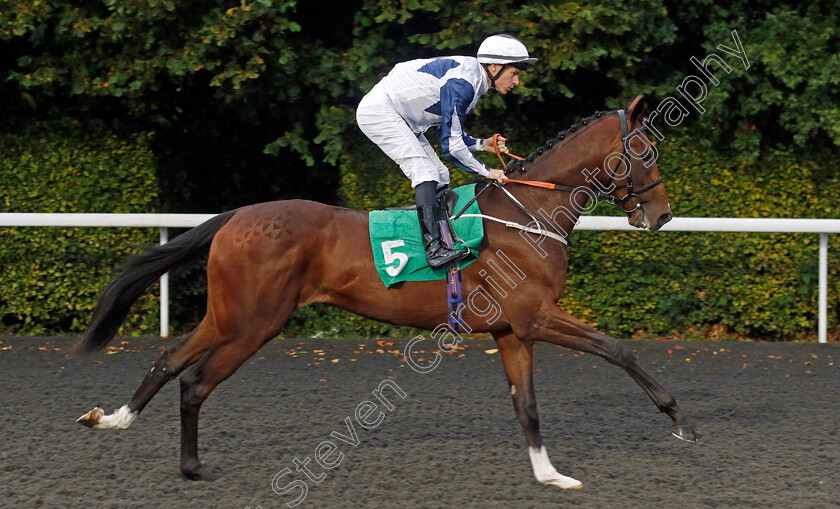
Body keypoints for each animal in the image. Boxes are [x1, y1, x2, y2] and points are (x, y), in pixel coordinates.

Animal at [75, 93, 696, 486]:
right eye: (646, 153)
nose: (662, 215)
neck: (528, 214)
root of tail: (234, 216)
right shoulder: (537, 316)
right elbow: (618, 349)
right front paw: (678, 418)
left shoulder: (512, 330)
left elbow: (528, 406)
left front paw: (550, 475)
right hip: (253, 323)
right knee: (196, 382)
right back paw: (188, 463)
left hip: (229, 316)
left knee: (169, 362)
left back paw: (121, 423)